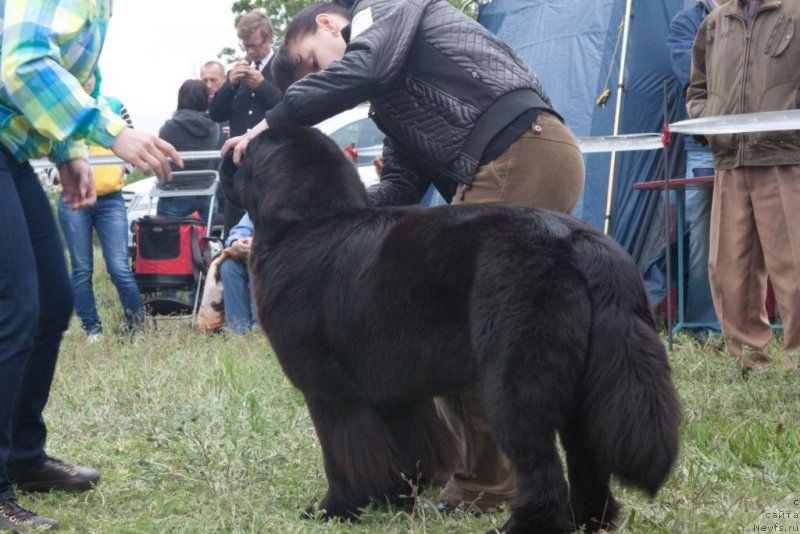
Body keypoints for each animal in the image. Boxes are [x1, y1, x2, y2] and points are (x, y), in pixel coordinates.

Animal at [219, 127, 680, 532]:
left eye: (245, 153)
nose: (224, 158)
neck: (312, 224)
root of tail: (581, 242)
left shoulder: (330, 393)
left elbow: (344, 455)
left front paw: (335, 509)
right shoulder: (396, 394)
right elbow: (408, 449)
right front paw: (395, 499)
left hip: (515, 382)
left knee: (541, 464)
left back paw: (524, 526)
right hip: (587, 384)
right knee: (587, 460)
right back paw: (588, 521)